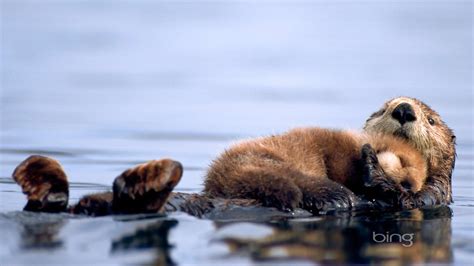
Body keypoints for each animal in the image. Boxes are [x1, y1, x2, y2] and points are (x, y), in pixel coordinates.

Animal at [11, 96, 456, 217]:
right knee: (294, 184)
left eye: (431, 120)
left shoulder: (430, 195)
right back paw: (330, 196)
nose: (404, 110)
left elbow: (403, 197)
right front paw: (371, 165)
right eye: (383, 107)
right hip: (262, 162)